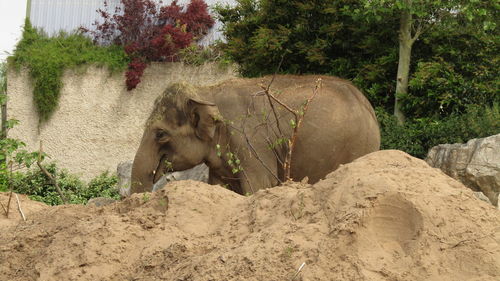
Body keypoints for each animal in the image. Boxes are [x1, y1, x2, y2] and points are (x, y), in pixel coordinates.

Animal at [129, 75, 378, 196]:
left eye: (161, 134)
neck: (206, 91)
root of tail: (368, 106)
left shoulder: (252, 143)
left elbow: (258, 186)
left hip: (358, 147)